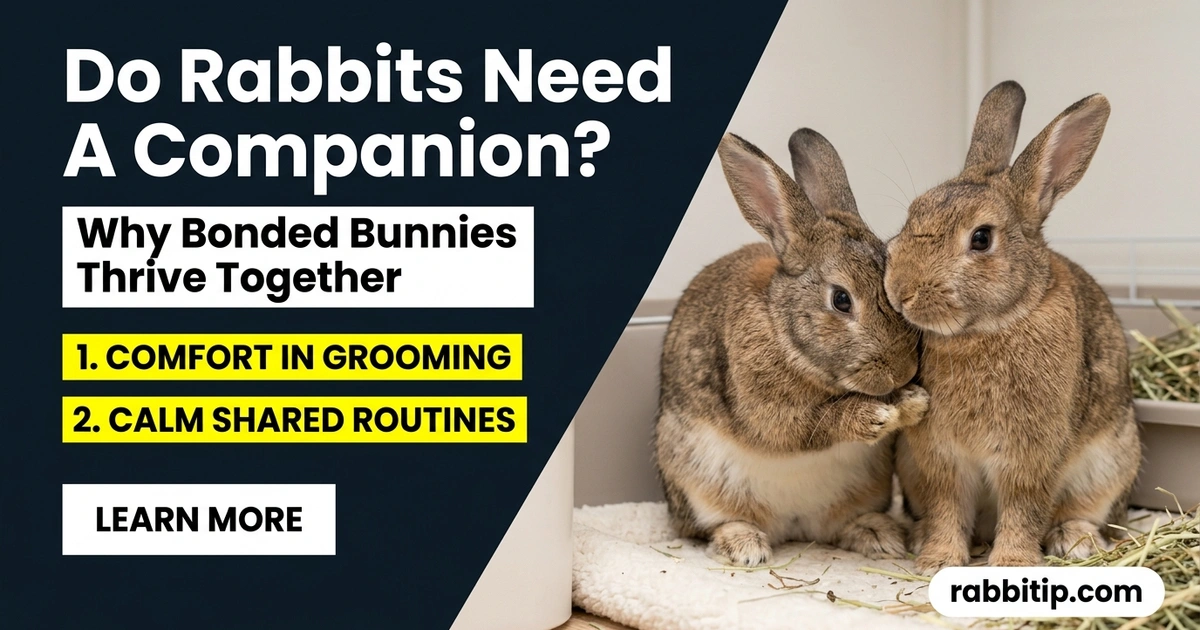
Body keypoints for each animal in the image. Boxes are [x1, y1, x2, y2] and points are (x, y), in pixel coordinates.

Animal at [652, 130, 929, 567]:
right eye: (841, 300)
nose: (902, 370)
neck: (786, 333)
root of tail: (795, 525)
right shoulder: (768, 408)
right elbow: (809, 426)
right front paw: (875, 415)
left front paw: (912, 403)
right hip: (695, 484)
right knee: (714, 526)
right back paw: (745, 546)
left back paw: (878, 536)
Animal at [883, 81, 1142, 574]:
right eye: (912, 213)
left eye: (981, 238)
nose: (899, 290)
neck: (987, 329)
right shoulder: (940, 457)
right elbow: (948, 507)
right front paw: (938, 561)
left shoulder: (1031, 455)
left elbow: (1024, 508)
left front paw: (1012, 564)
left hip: (1110, 463)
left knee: (1085, 511)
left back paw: (1075, 541)